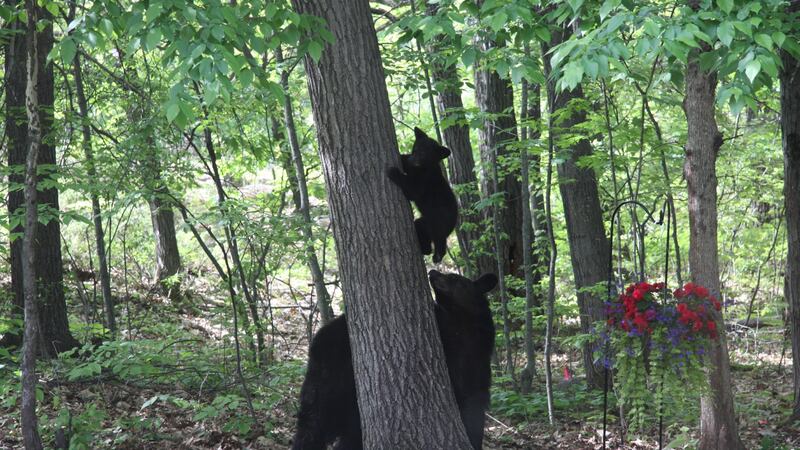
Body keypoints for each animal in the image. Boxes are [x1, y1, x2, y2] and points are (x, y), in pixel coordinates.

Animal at [291, 270, 498, 450]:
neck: (461, 326)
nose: (433, 271)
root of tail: (316, 343)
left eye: (453, 277)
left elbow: (474, 410)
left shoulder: (477, 365)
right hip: (334, 382)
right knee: (317, 424)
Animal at [387, 127, 458, 263]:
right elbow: (406, 162)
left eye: (424, 154)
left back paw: (437, 255)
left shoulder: (424, 180)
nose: (413, 160)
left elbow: (412, 191)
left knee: (434, 236)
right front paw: (403, 157)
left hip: (434, 221)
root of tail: (454, 222)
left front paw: (393, 171)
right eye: (415, 149)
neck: (423, 168)